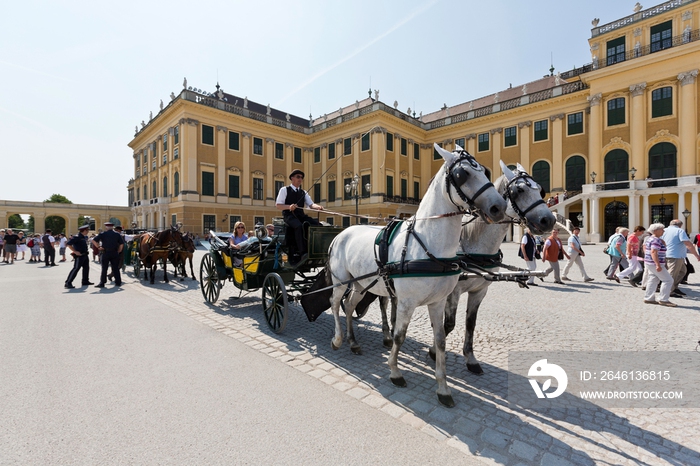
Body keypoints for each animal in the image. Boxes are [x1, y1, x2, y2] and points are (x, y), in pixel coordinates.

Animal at [326, 143, 506, 408]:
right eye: (462, 174)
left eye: (484, 170)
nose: (498, 206)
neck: (428, 244)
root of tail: (341, 233)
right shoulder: (406, 303)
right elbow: (399, 336)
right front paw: (394, 371)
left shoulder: (438, 302)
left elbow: (440, 340)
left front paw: (443, 387)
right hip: (341, 282)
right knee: (335, 303)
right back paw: (338, 339)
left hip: (361, 285)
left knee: (349, 306)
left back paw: (353, 342)